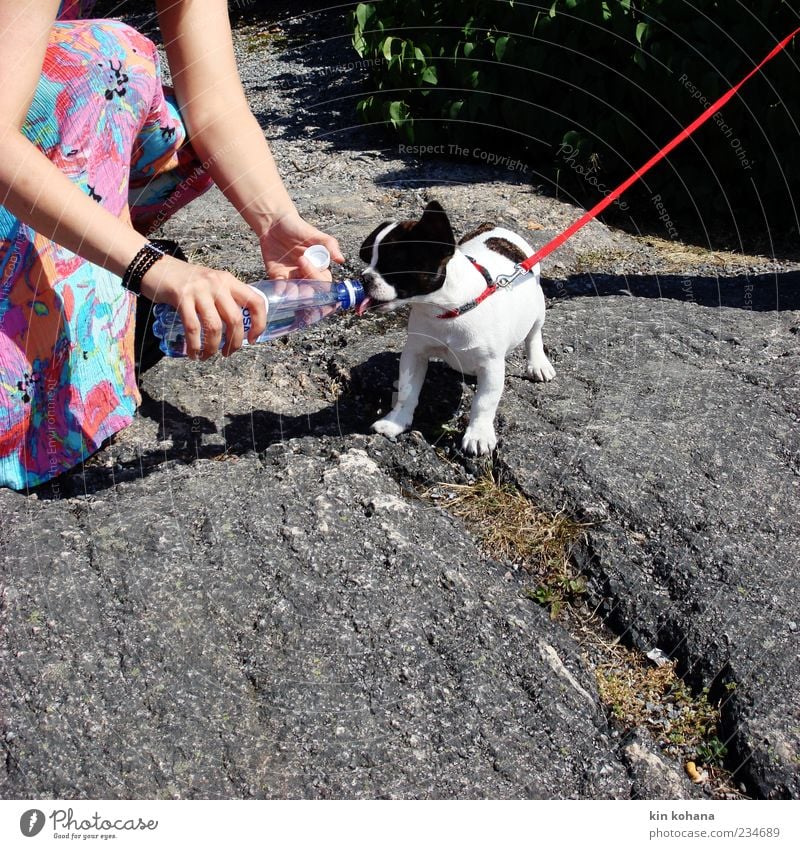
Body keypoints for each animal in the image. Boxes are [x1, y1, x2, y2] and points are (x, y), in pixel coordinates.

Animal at [360, 200, 552, 458]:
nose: (363, 278)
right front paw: (396, 422)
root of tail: (494, 227)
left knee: (533, 335)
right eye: (368, 260)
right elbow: (408, 391)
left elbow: (484, 402)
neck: (447, 310)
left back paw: (538, 364)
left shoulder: (491, 366)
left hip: (538, 307)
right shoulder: (415, 353)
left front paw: (479, 435)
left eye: (393, 265)